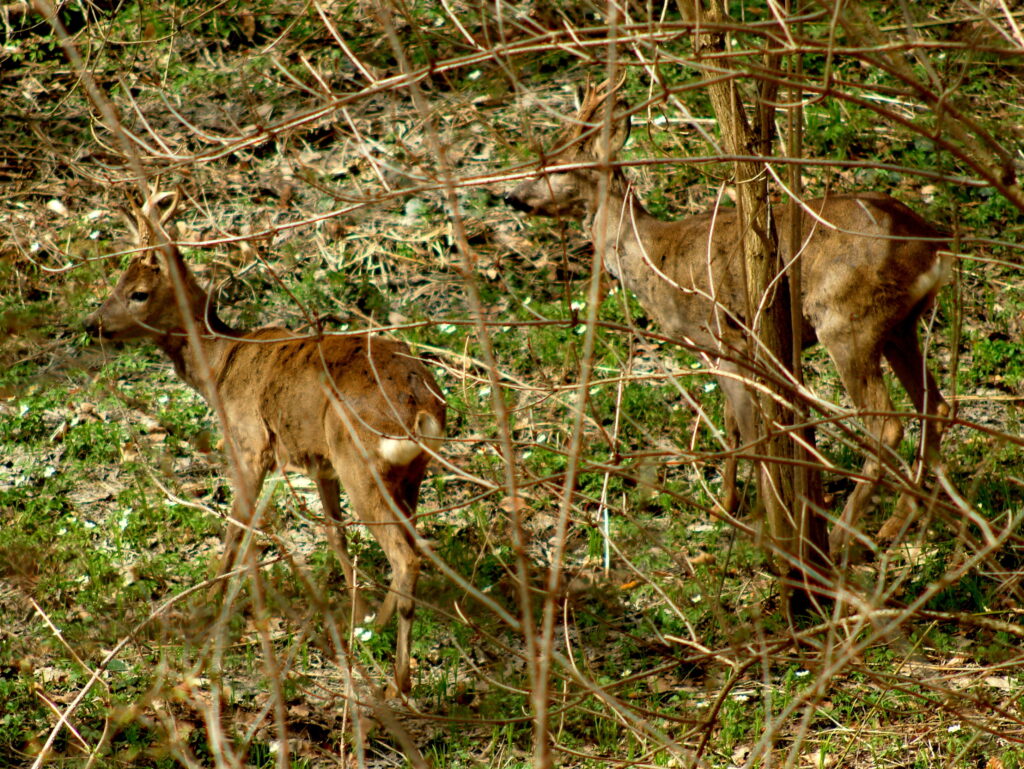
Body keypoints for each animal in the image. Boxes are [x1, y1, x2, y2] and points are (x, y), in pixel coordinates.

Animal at [83, 189, 444, 696]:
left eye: (138, 292)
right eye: (116, 280)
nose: (91, 323)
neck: (220, 365)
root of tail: (420, 407)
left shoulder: (252, 443)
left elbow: (237, 526)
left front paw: (210, 602)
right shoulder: (318, 462)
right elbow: (335, 534)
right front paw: (354, 605)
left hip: (360, 463)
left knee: (405, 556)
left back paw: (397, 678)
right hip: (407, 473)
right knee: (410, 546)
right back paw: (375, 628)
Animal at [507, 85, 954, 561]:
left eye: (557, 165)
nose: (509, 197)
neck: (650, 256)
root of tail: (930, 241)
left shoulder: (723, 339)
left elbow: (744, 423)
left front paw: (753, 516)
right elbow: (735, 420)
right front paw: (727, 504)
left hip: (846, 319)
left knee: (887, 425)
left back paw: (836, 540)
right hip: (899, 325)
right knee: (935, 406)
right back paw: (896, 523)